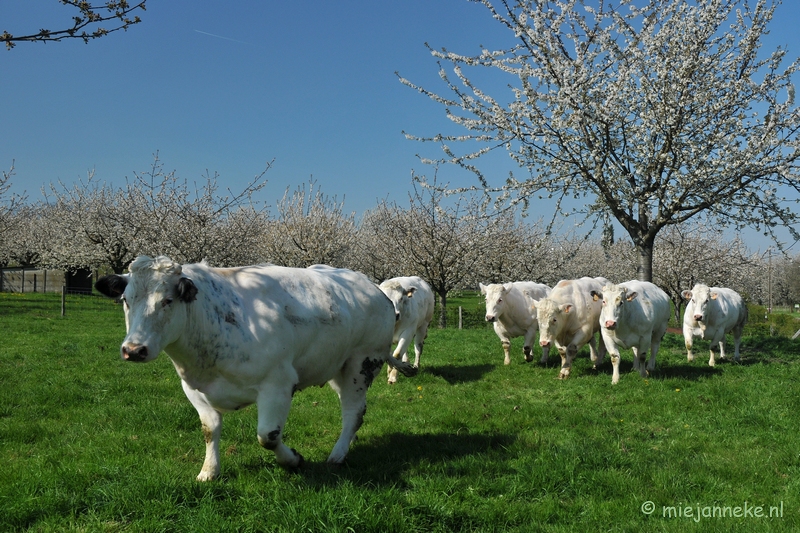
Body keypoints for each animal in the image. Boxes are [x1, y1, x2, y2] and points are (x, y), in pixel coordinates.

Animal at [96, 254, 416, 478]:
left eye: (167, 300)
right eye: (125, 299)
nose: (133, 349)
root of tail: (374, 288)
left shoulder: (278, 384)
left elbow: (268, 436)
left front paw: (294, 460)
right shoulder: (194, 389)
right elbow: (209, 430)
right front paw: (209, 471)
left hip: (361, 363)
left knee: (353, 412)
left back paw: (336, 456)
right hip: (337, 365)